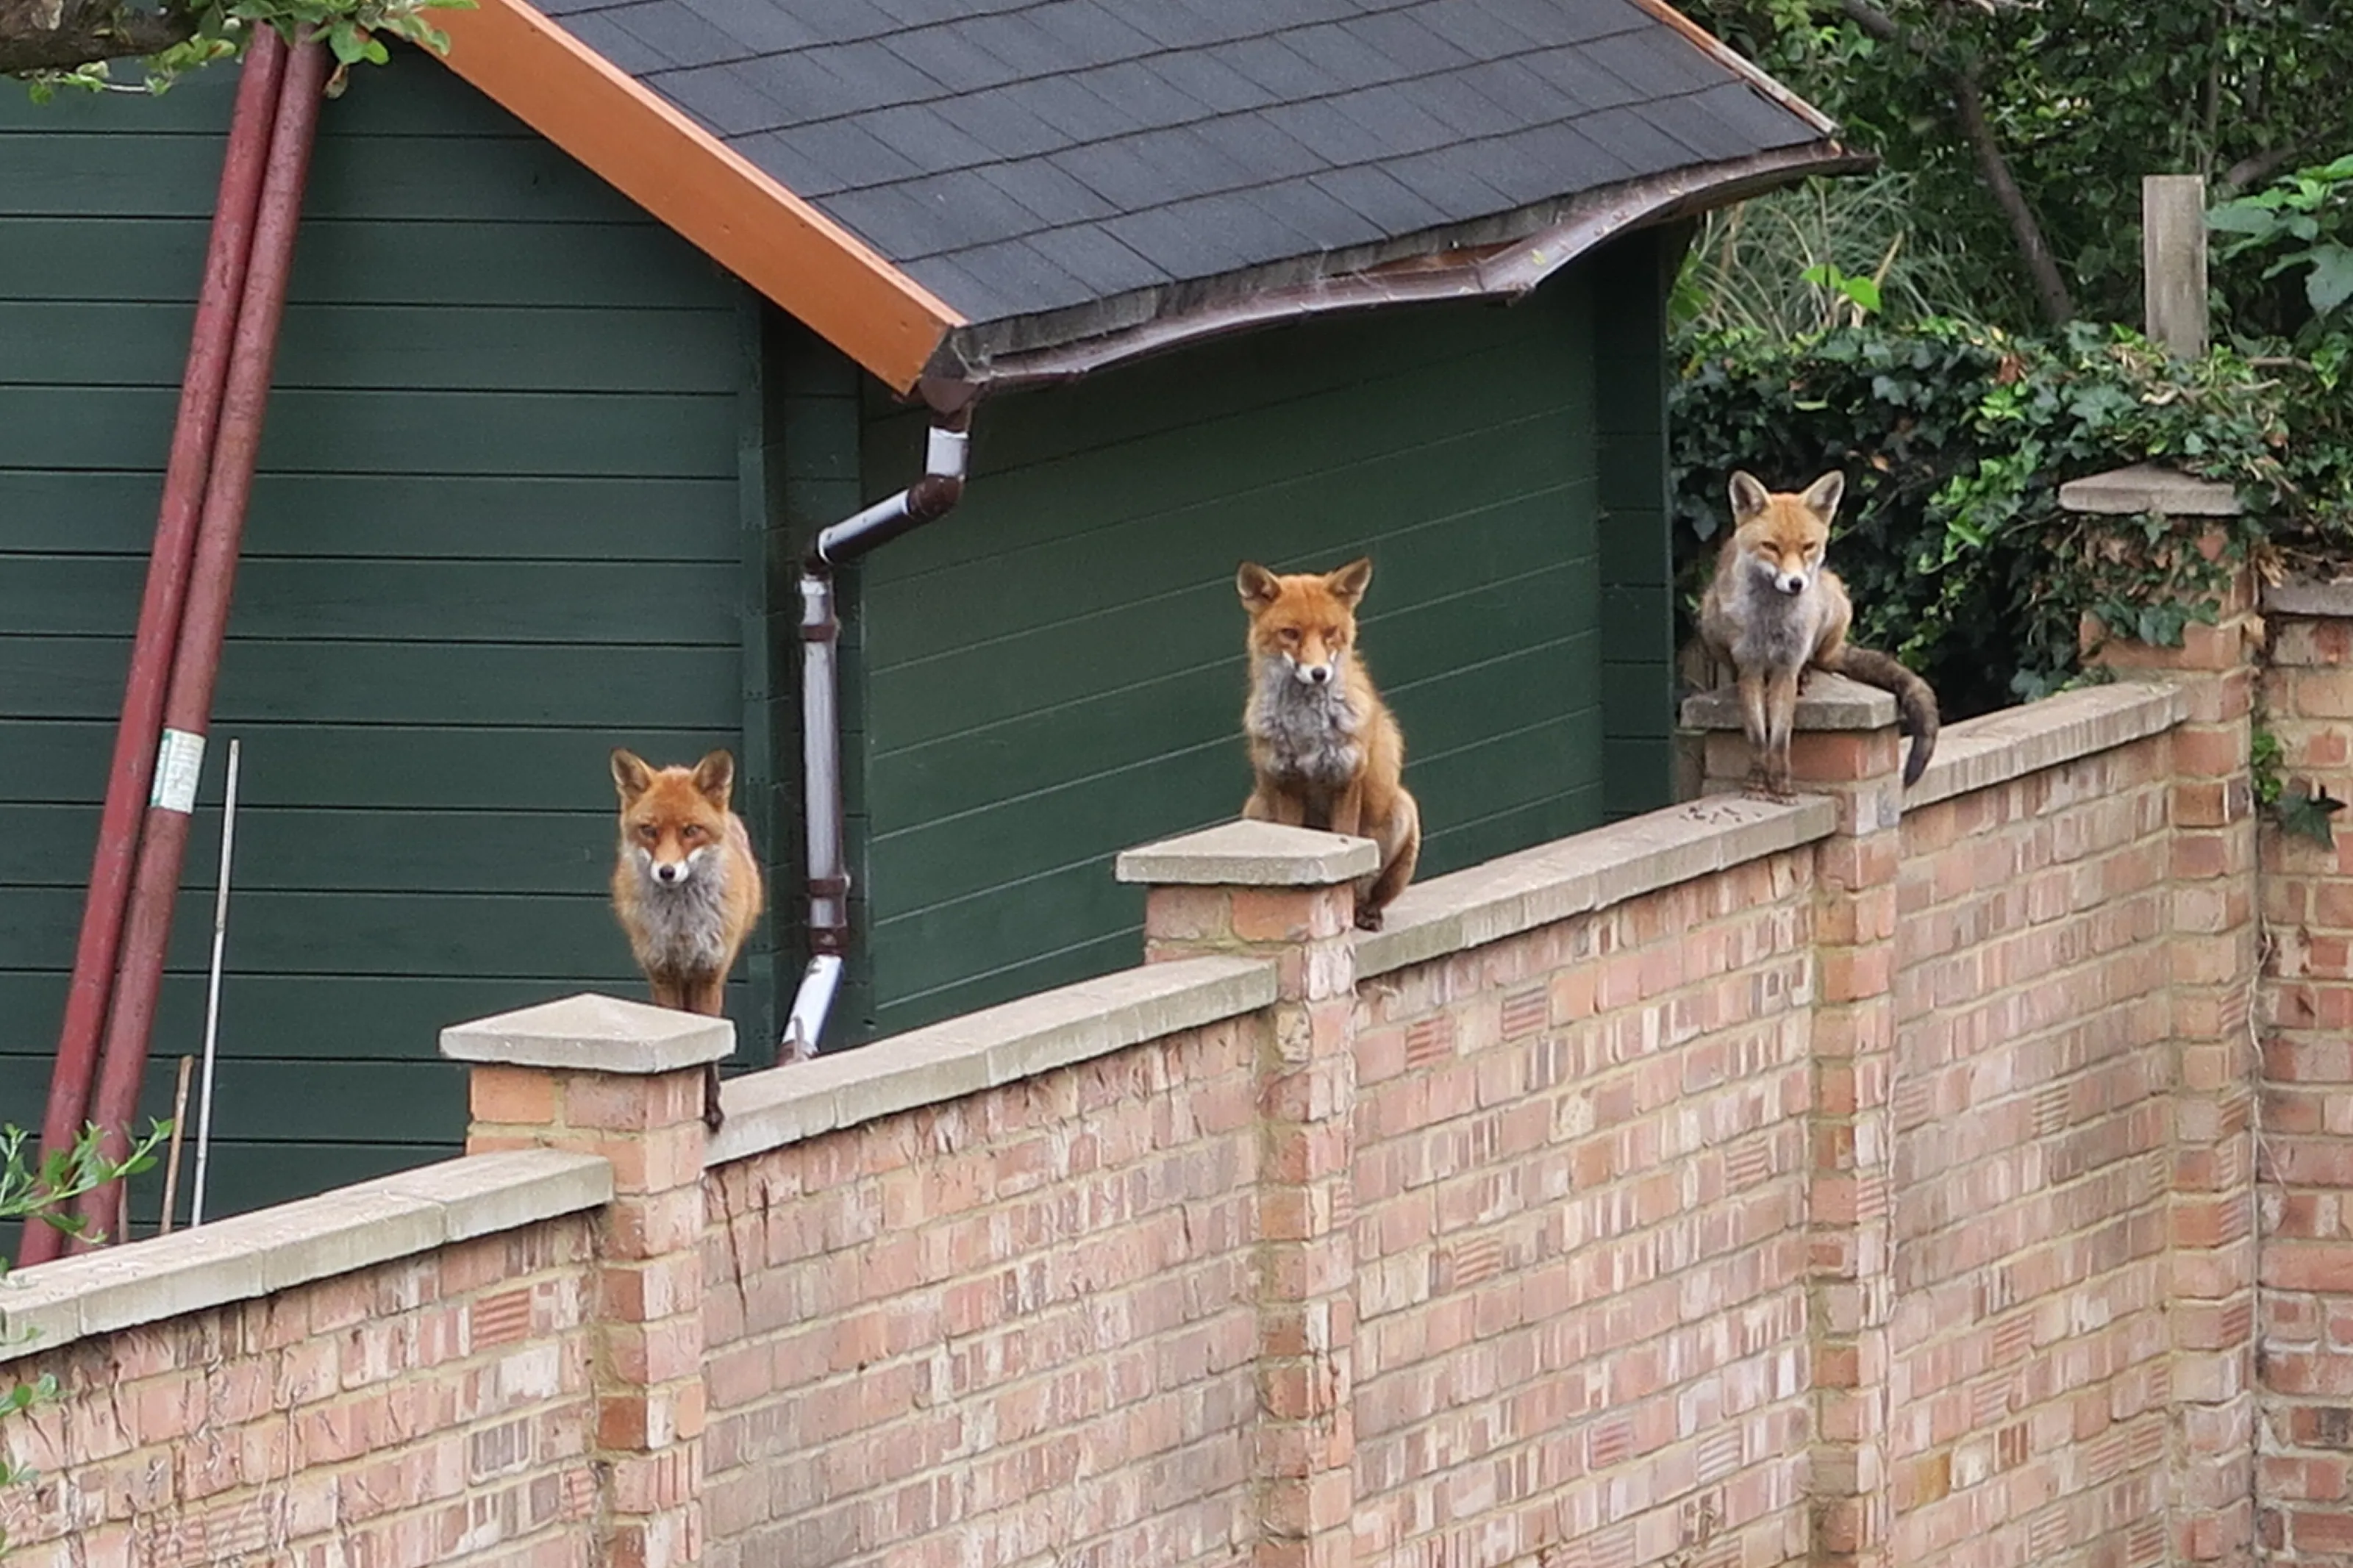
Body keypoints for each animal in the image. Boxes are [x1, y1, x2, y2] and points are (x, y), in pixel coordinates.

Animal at [609, 747, 764, 1130]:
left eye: (691, 831)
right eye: (649, 830)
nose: (667, 872)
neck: (681, 926)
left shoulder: (709, 972)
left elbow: (709, 1053)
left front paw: (711, 1106)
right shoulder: (662, 972)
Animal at [1237, 556, 1421, 931]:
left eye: (1330, 633)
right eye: (1290, 633)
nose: (1319, 673)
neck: (1307, 733)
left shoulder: (1346, 779)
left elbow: (1348, 842)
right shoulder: (1287, 784)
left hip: (1403, 810)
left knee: (1372, 891)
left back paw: (1365, 913)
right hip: (1256, 809)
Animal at [1695, 470, 1939, 799]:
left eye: (1808, 546)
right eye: (1771, 547)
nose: (1796, 583)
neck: (1772, 623)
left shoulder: (1786, 667)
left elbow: (1780, 737)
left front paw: (1781, 784)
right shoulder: (1751, 667)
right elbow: (1758, 737)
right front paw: (1757, 783)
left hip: (1835, 603)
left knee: (1821, 659)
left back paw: (1810, 671)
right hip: (1709, 615)